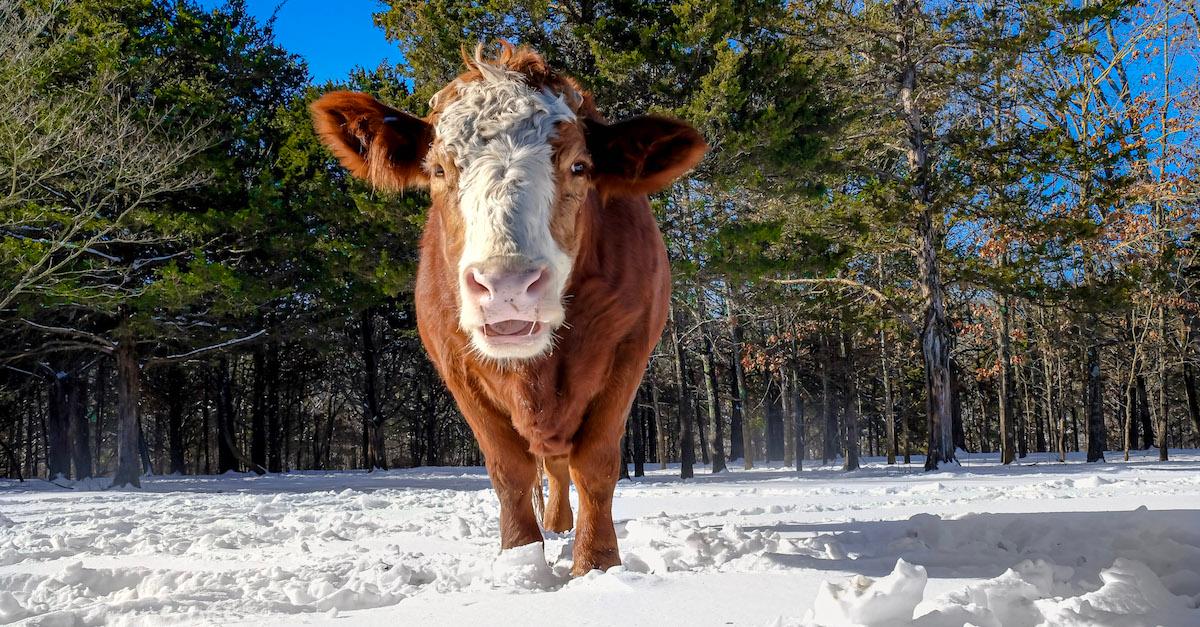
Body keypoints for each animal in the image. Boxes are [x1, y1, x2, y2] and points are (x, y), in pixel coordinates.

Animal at [312, 42, 700, 571]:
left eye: (579, 166)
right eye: (438, 169)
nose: (506, 283)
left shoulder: (630, 346)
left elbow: (596, 463)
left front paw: (597, 565)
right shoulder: (456, 366)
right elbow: (508, 469)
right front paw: (521, 563)